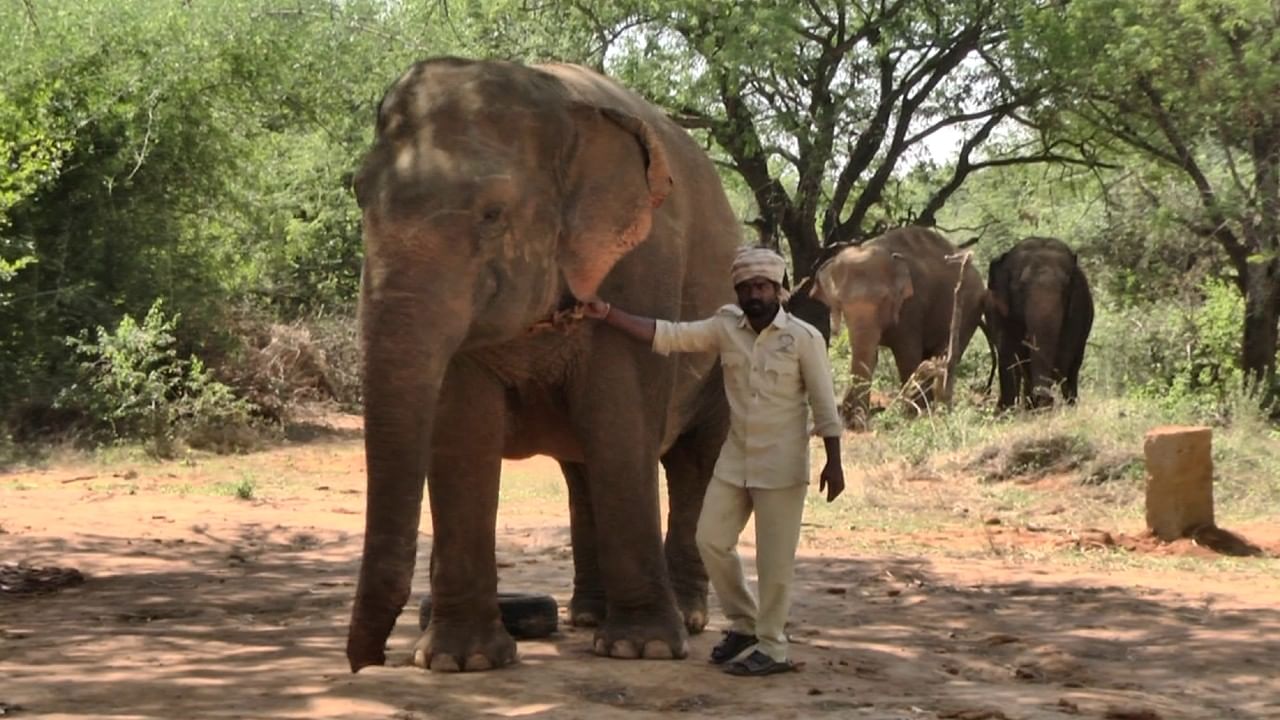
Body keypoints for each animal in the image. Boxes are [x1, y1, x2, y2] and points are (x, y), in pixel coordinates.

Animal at [345, 58, 737, 671]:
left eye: (492, 214)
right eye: (358, 194)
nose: (370, 660)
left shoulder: (644, 266)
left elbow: (622, 424)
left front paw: (642, 649)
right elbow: (463, 433)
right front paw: (460, 661)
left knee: (692, 461)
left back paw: (685, 619)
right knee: (583, 471)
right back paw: (588, 617)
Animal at [798, 224, 988, 425]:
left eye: (884, 299)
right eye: (840, 302)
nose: (853, 421)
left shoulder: (912, 305)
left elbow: (907, 355)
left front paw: (911, 416)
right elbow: (870, 354)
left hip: (969, 309)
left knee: (947, 354)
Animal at [983, 233, 1095, 407]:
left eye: (1066, 286)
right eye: (1021, 287)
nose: (1044, 397)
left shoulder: (1078, 307)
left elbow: (1064, 358)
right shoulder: (999, 311)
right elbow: (1009, 357)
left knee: (1073, 369)